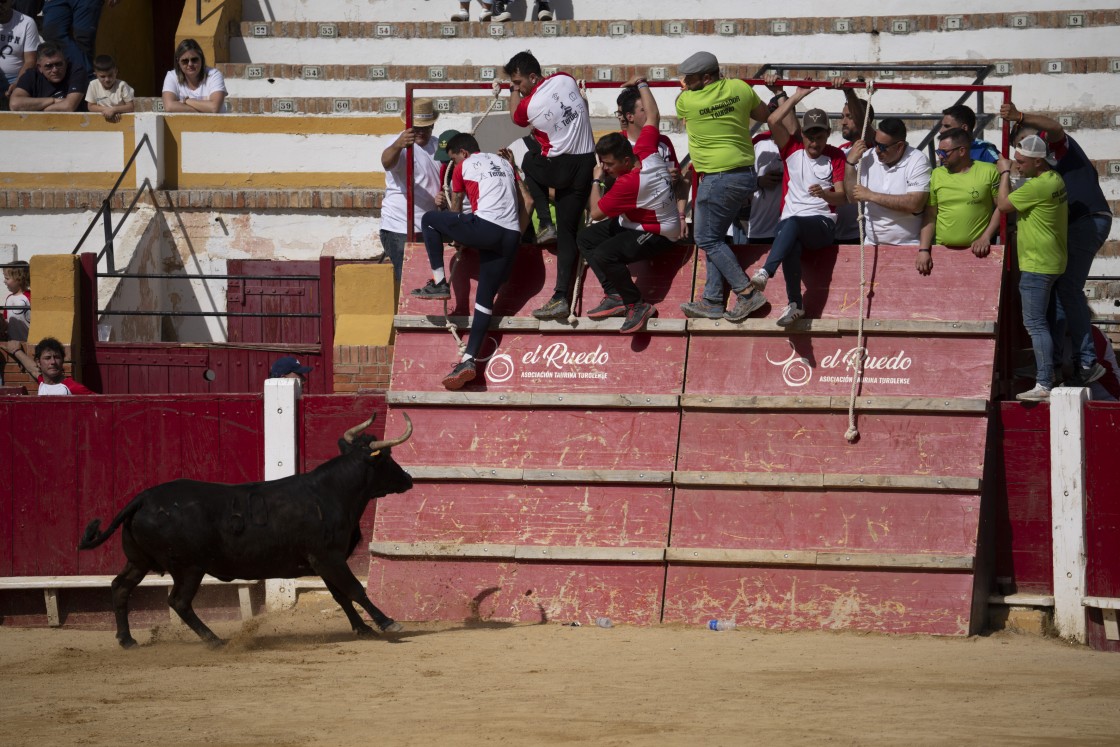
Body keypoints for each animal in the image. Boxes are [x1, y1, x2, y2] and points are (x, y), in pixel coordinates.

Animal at [80, 412, 416, 645]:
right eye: (387, 458)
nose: (409, 479)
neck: (332, 492)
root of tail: (143, 498)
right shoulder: (329, 558)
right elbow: (355, 589)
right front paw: (387, 623)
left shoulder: (323, 563)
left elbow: (341, 595)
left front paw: (363, 629)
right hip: (189, 567)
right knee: (178, 602)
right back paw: (214, 640)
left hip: (139, 561)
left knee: (120, 587)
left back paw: (127, 640)